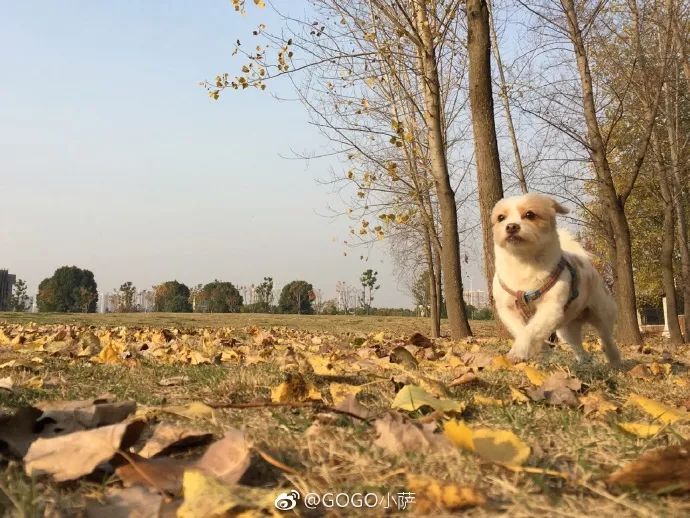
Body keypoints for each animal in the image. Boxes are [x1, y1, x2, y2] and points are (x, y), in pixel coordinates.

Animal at [490, 193, 620, 368]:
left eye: (530, 214)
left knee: (607, 338)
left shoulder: (550, 308)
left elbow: (531, 330)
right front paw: (535, 350)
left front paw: (518, 352)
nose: (511, 226)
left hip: (602, 314)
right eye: (501, 218)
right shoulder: (507, 309)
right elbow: (522, 330)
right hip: (566, 330)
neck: (524, 263)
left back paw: (615, 361)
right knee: (578, 348)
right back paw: (583, 363)